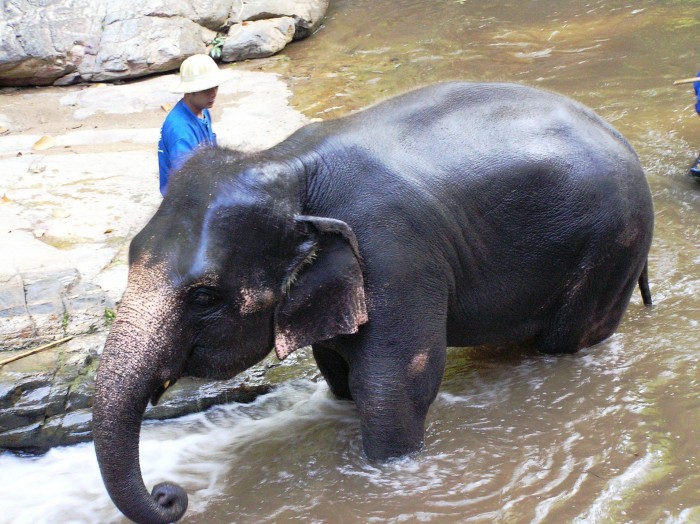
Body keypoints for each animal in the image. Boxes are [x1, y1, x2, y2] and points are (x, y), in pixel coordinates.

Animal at [93, 81, 654, 523]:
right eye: (130, 255)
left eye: (205, 296)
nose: (169, 495)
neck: (290, 168)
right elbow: (338, 370)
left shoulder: (395, 256)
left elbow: (392, 385)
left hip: (611, 248)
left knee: (566, 341)